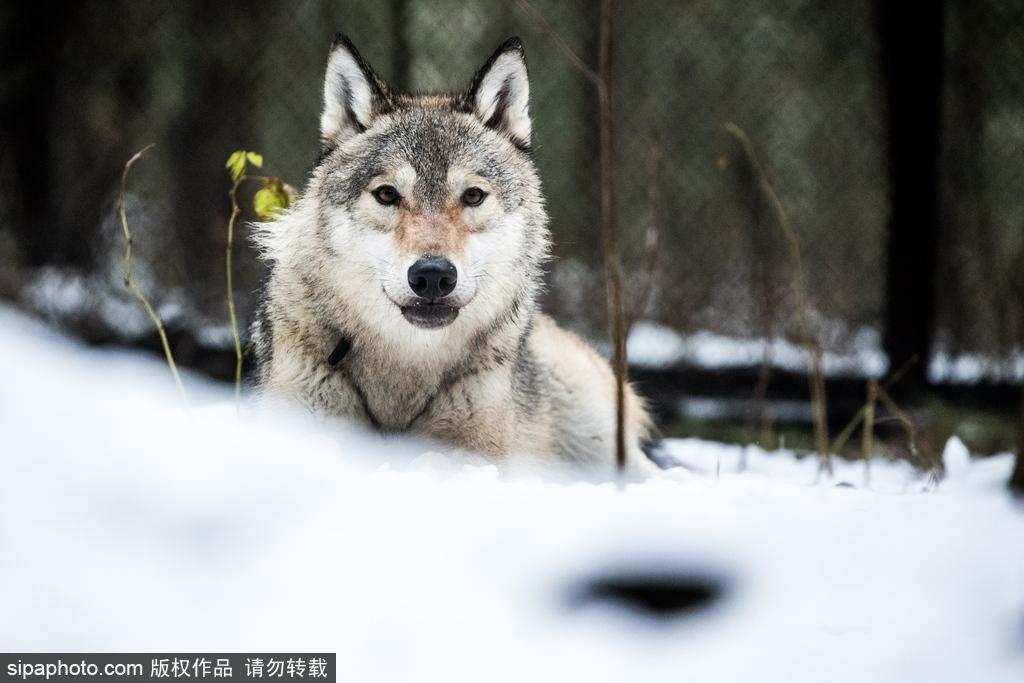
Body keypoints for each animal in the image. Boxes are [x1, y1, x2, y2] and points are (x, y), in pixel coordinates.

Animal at [251, 34, 659, 479]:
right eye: (387, 194)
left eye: (473, 196)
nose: (432, 275)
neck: (404, 367)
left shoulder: (481, 446)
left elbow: (435, 461)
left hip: (599, 434)